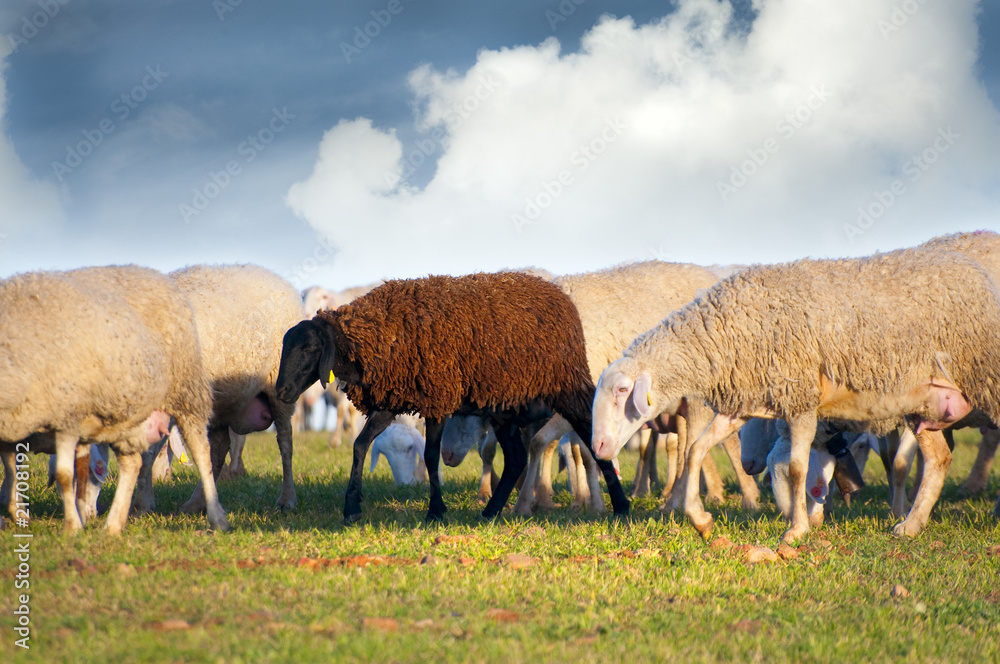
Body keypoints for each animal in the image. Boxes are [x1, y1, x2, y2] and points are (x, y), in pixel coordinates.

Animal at [0, 265, 229, 533]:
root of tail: (155, 274)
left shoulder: (68, 415)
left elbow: (65, 474)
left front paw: (72, 528)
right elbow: (13, 470)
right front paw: (19, 512)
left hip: (185, 391)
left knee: (202, 452)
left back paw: (217, 518)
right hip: (128, 414)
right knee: (133, 463)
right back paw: (113, 525)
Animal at [136, 265, 304, 517]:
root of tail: (280, 280)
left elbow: (149, 451)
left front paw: (141, 504)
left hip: (279, 387)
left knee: (285, 441)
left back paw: (288, 498)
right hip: (222, 400)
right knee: (220, 446)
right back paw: (196, 503)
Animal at [275, 271, 630, 524]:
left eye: (309, 347)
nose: (281, 391)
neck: (378, 335)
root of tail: (561, 297)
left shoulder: (437, 397)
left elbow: (431, 456)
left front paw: (435, 510)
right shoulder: (391, 401)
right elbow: (360, 445)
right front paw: (351, 508)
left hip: (567, 388)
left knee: (591, 439)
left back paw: (621, 506)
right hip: (502, 406)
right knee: (516, 457)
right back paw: (490, 512)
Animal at [512, 261, 759, 516]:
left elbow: (577, 451)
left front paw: (593, 504)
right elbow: (546, 444)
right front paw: (539, 502)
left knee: (721, 442)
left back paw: (742, 496)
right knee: (687, 445)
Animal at [592, 246, 1000, 543]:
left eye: (624, 391)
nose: (598, 447)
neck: (724, 334)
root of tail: (971, 269)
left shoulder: (801, 400)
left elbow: (796, 468)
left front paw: (796, 530)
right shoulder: (745, 404)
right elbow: (696, 451)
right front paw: (700, 518)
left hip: (986, 379)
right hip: (925, 402)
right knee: (939, 458)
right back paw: (911, 526)